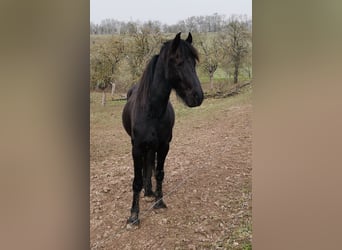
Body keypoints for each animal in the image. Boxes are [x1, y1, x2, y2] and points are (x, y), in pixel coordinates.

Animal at [122, 31, 203, 225]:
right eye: (178, 62)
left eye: (194, 63)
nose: (198, 96)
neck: (152, 111)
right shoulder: (137, 147)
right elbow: (136, 180)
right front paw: (133, 215)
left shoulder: (164, 146)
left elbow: (158, 172)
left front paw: (159, 201)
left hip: (153, 146)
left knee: (149, 164)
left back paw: (150, 191)